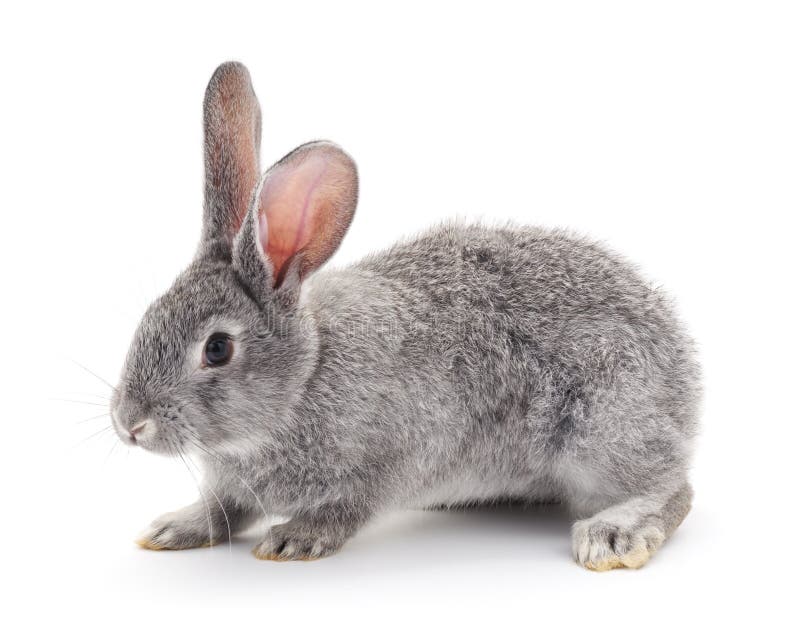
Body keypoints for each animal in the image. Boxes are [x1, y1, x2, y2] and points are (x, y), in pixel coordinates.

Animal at [111, 61, 700, 571]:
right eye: (148, 318)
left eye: (217, 349)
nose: (128, 424)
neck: (304, 378)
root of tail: (684, 383)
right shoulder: (233, 486)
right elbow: (224, 509)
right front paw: (175, 527)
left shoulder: (388, 460)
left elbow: (346, 509)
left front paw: (295, 539)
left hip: (601, 428)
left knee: (672, 486)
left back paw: (614, 533)